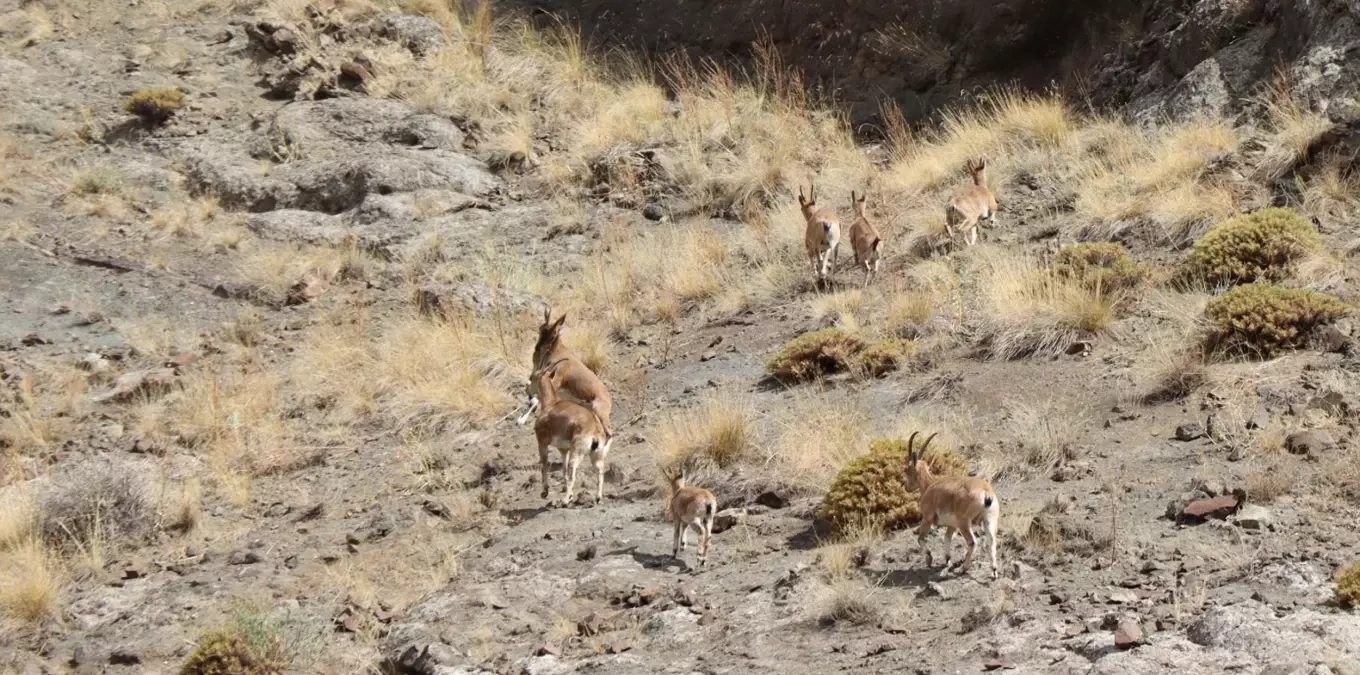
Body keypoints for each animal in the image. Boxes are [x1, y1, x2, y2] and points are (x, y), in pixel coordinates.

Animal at [517, 309, 613, 449]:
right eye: (541, 329)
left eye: (553, 334)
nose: (537, 348)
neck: (557, 353)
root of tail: (608, 399)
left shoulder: (554, 380)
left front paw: (521, 420)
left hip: (599, 412)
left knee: (609, 433)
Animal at [532, 359, 612, 506]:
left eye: (534, 377)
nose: (529, 392)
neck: (551, 405)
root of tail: (595, 430)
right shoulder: (564, 449)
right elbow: (563, 470)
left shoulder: (542, 442)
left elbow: (544, 465)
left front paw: (545, 492)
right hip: (595, 455)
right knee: (599, 471)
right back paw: (597, 498)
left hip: (577, 453)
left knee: (572, 473)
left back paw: (565, 500)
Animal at [902, 431, 1000, 580]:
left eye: (907, 469)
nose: (906, 487)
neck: (930, 486)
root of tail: (986, 492)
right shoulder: (951, 526)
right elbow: (946, 540)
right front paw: (947, 563)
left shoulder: (927, 518)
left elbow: (920, 538)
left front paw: (929, 559)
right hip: (989, 519)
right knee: (991, 542)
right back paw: (993, 571)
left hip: (964, 522)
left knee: (973, 542)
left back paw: (963, 569)